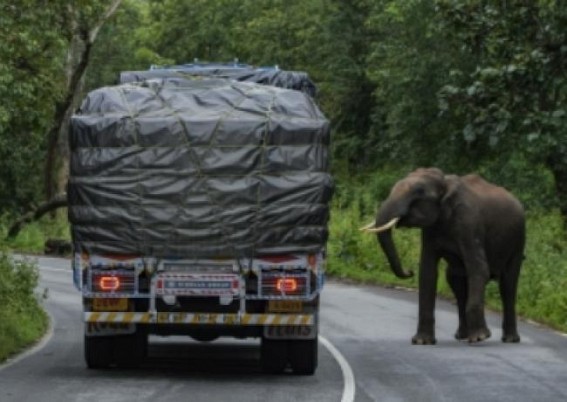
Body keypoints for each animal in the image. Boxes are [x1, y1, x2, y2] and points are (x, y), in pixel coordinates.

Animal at [362, 168, 524, 344]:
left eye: (419, 193)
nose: (409, 271)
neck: (444, 182)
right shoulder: (431, 228)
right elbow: (427, 272)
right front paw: (422, 342)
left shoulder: (469, 223)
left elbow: (479, 269)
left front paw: (480, 338)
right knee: (455, 281)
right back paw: (462, 336)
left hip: (519, 239)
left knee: (508, 284)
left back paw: (509, 339)